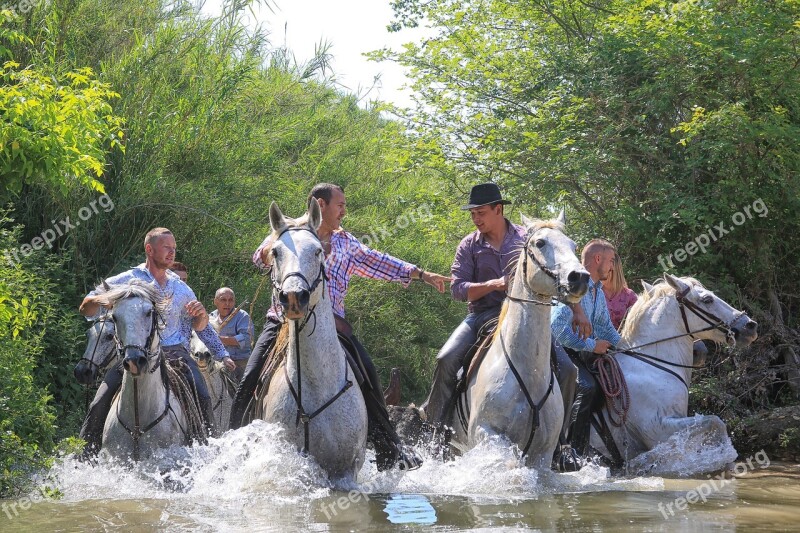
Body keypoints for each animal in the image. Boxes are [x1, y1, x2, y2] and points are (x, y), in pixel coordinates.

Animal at [454, 214, 592, 468]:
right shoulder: (486, 434)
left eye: (573, 245)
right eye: (540, 243)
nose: (579, 277)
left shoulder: (543, 453)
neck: (529, 373)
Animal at [596, 274, 760, 470]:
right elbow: (715, 422)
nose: (750, 326)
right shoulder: (658, 430)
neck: (652, 366)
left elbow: (714, 424)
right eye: (707, 299)